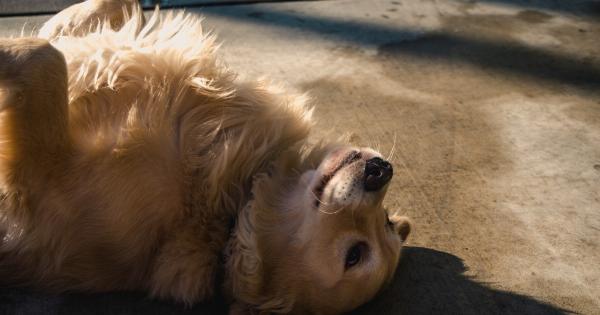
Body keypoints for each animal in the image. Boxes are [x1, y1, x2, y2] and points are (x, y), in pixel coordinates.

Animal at [0, 1, 410, 314]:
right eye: (388, 221)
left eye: (355, 256)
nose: (381, 170)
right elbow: (83, 26)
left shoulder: (43, 178)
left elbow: (46, 57)